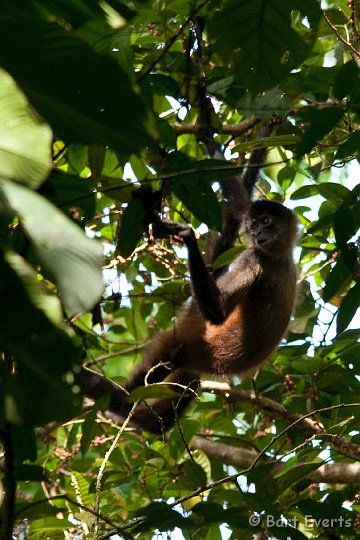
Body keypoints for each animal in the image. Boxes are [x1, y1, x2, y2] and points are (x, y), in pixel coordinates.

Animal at [82, 123, 298, 434]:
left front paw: (187, 236)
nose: (257, 233)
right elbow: (239, 206)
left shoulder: (255, 255)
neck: (280, 258)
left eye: (266, 222)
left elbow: (218, 311)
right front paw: (213, 140)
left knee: (146, 394)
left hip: (182, 347)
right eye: (254, 225)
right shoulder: (256, 252)